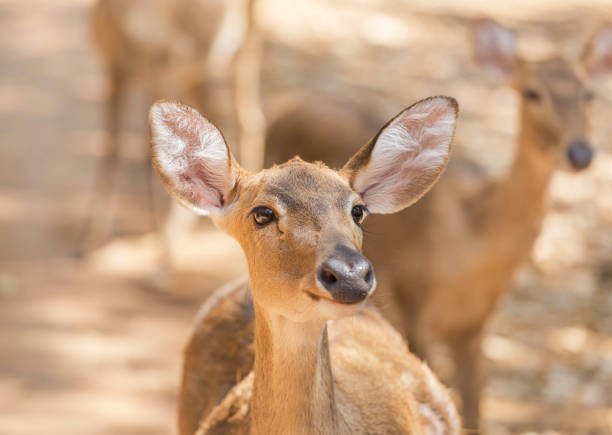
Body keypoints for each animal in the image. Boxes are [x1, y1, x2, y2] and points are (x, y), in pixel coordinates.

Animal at [77, 0, 262, 254]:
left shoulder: (165, 69)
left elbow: (152, 160)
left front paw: (161, 250)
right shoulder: (115, 65)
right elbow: (112, 150)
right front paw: (91, 239)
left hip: (238, 53)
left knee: (245, 120)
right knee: (232, 119)